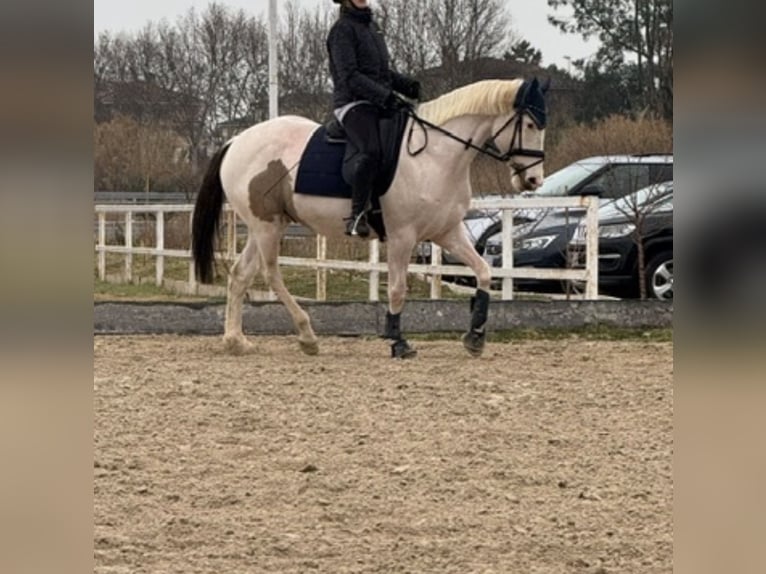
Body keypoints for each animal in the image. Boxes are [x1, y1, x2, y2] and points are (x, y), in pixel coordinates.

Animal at [191, 77, 548, 358]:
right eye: (531, 125)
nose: (533, 180)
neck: (436, 156)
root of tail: (236, 139)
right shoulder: (403, 236)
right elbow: (397, 290)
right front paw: (397, 341)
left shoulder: (448, 233)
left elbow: (484, 272)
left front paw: (475, 337)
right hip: (267, 227)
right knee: (270, 274)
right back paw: (307, 336)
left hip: (265, 225)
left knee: (241, 274)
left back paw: (236, 341)